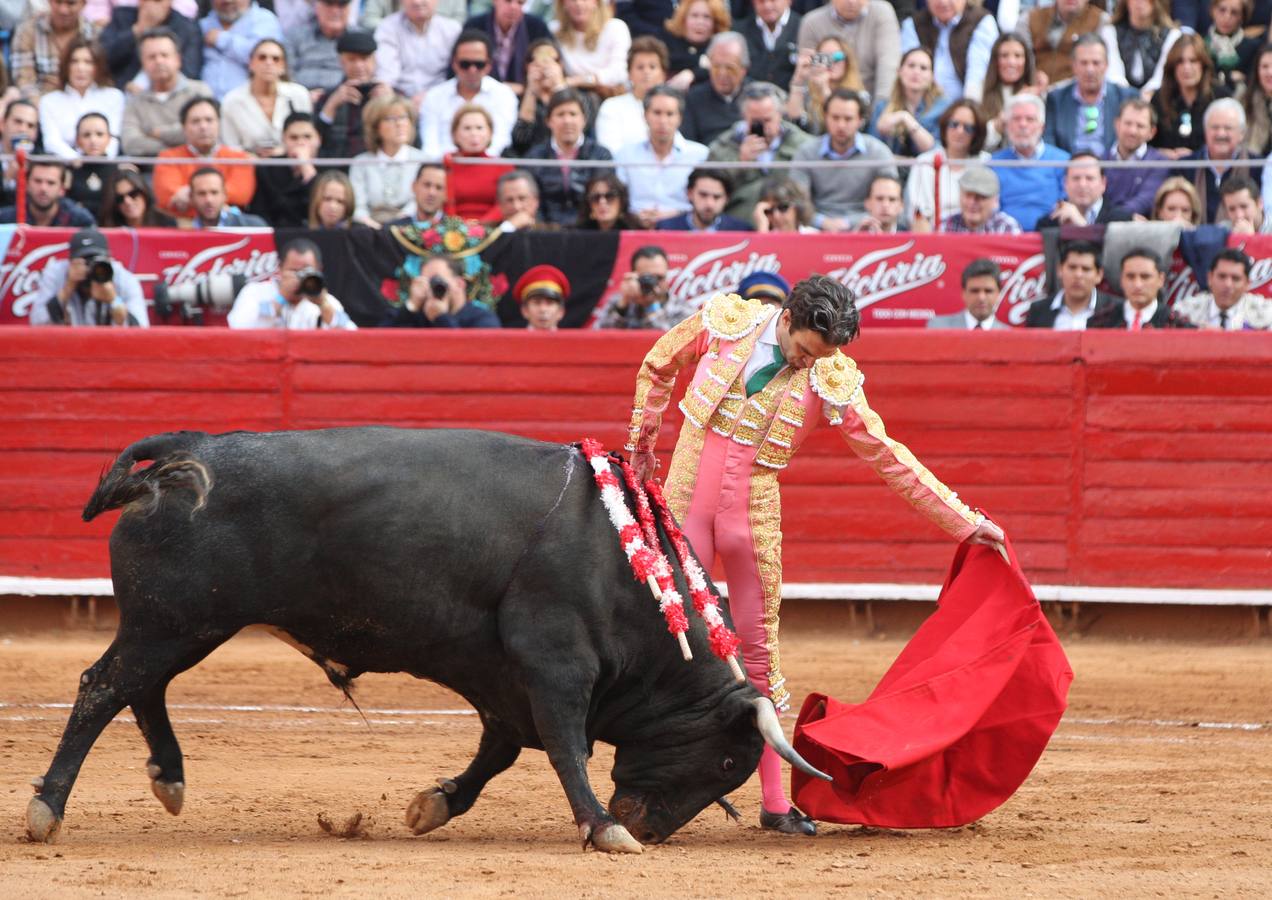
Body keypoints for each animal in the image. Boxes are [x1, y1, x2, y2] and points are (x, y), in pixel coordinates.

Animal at [29, 427, 829, 849]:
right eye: (725, 759)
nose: (649, 826)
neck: (620, 569)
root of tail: (185, 452)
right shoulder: (555, 664)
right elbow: (565, 745)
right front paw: (602, 828)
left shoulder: (503, 677)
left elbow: (500, 750)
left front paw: (433, 804)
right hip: (173, 622)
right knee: (104, 688)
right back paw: (48, 812)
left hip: (181, 625)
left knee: (142, 688)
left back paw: (168, 779)